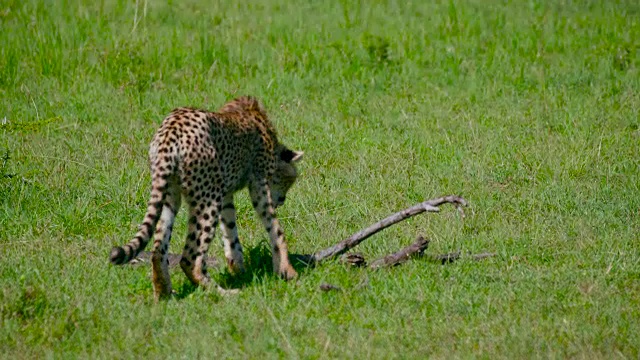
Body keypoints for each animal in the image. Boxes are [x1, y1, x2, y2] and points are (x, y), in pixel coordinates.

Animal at [110, 96, 302, 300]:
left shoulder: (226, 195)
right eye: (290, 181)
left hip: (171, 196)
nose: (282, 200)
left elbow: (231, 233)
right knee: (189, 259)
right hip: (209, 200)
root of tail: (170, 131)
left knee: (158, 250)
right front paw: (287, 271)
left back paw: (164, 294)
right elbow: (274, 227)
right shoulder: (258, 184)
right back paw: (222, 292)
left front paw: (239, 270)